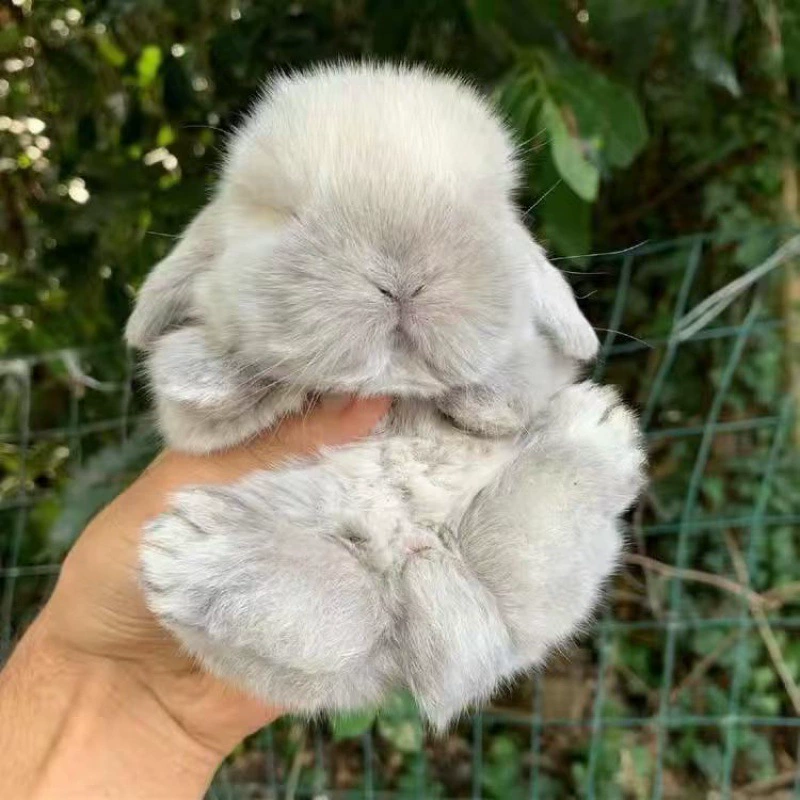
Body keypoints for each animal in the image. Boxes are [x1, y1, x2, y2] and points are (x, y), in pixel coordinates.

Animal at [126, 62, 646, 729]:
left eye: (488, 209)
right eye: (284, 212)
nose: (403, 274)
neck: (395, 392)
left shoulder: (541, 365)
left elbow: (527, 371)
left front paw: (484, 399)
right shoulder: (190, 430)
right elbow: (201, 392)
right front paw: (212, 373)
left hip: (545, 569)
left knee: (502, 591)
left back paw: (592, 437)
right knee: (358, 616)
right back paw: (202, 558)